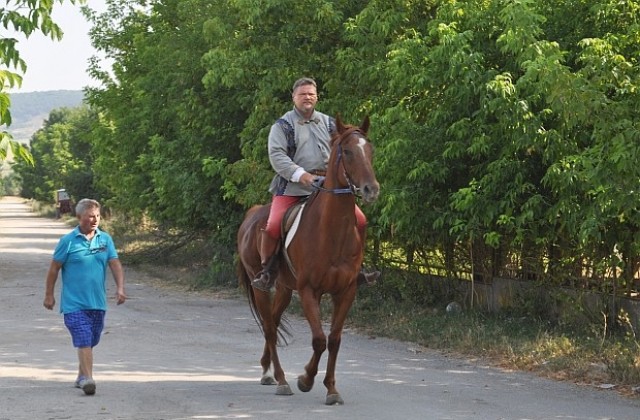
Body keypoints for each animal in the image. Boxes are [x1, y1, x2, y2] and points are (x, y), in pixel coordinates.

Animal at [239, 114, 380, 404]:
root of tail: (252, 214)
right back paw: (281, 380)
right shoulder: (308, 291)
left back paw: (267, 372)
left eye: (370, 150)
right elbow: (319, 340)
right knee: (270, 329)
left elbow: (334, 340)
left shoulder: (346, 291)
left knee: (274, 322)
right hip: (262, 287)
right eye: (347, 151)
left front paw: (332, 389)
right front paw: (305, 379)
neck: (332, 233)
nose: (371, 189)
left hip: (283, 288)